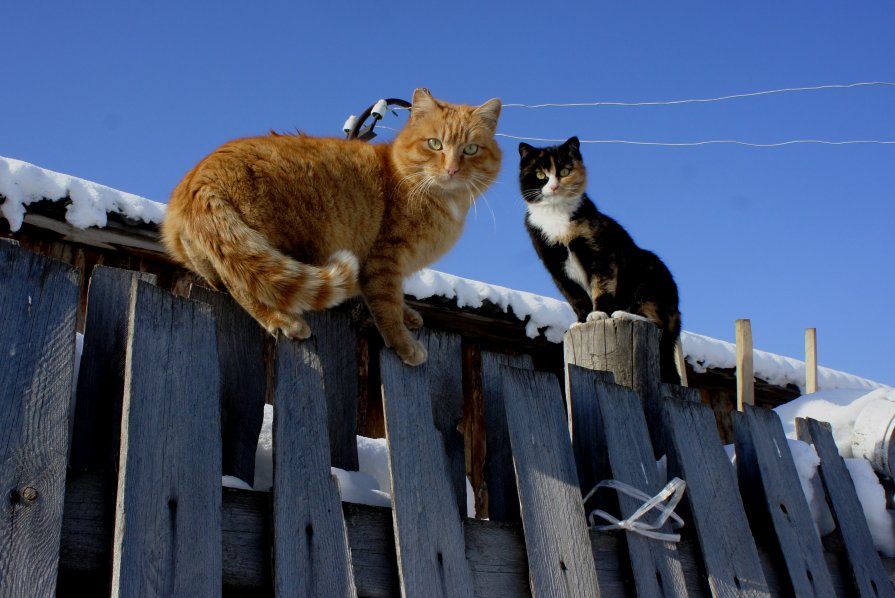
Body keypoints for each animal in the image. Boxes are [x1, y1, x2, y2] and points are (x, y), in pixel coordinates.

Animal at [164, 86, 500, 364]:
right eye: (435, 144)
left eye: (471, 149)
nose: (452, 169)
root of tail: (199, 179)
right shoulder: (384, 260)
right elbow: (387, 306)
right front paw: (404, 344)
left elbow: (394, 299)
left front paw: (409, 316)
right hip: (265, 246)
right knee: (244, 288)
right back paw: (284, 321)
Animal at [520, 137, 684, 384]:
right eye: (540, 175)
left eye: (565, 171)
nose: (554, 186)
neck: (556, 217)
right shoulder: (554, 264)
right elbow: (575, 296)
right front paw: (581, 319)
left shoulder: (601, 252)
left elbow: (602, 285)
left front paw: (598, 314)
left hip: (649, 276)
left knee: (658, 324)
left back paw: (623, 313)